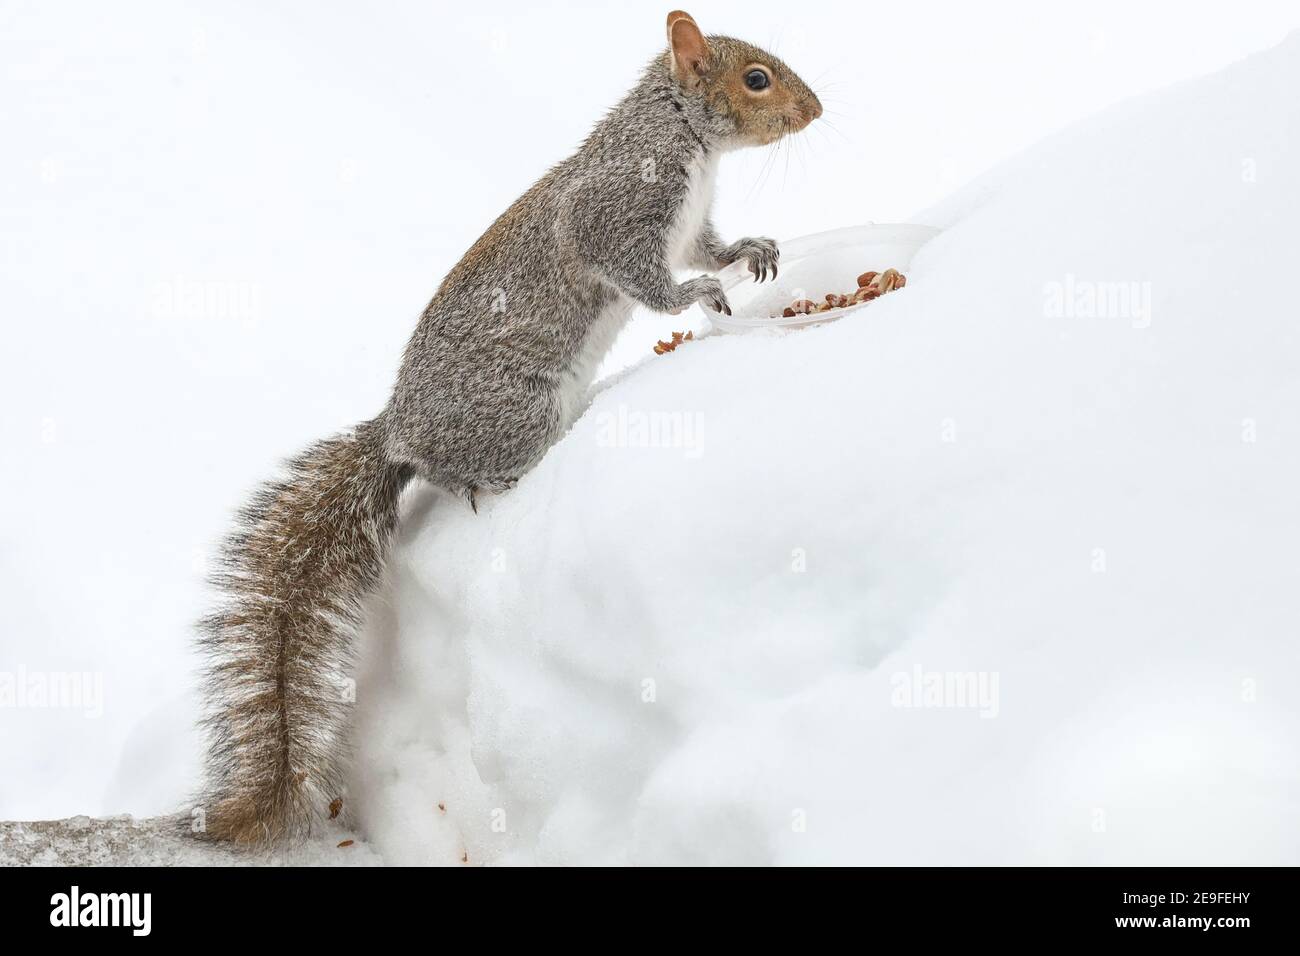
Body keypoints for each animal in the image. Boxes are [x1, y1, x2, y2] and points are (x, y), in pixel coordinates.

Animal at [195, 9, 821, 842]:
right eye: (756, 79)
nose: (816, 111)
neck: (683, 134)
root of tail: (397, 430)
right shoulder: (619, 211)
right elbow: (643, 273)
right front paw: (696, 295)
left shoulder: (686, 225)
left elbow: (709, 245)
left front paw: (752, 250)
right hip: (519, 412)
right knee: (455, 471)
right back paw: (489, 480)